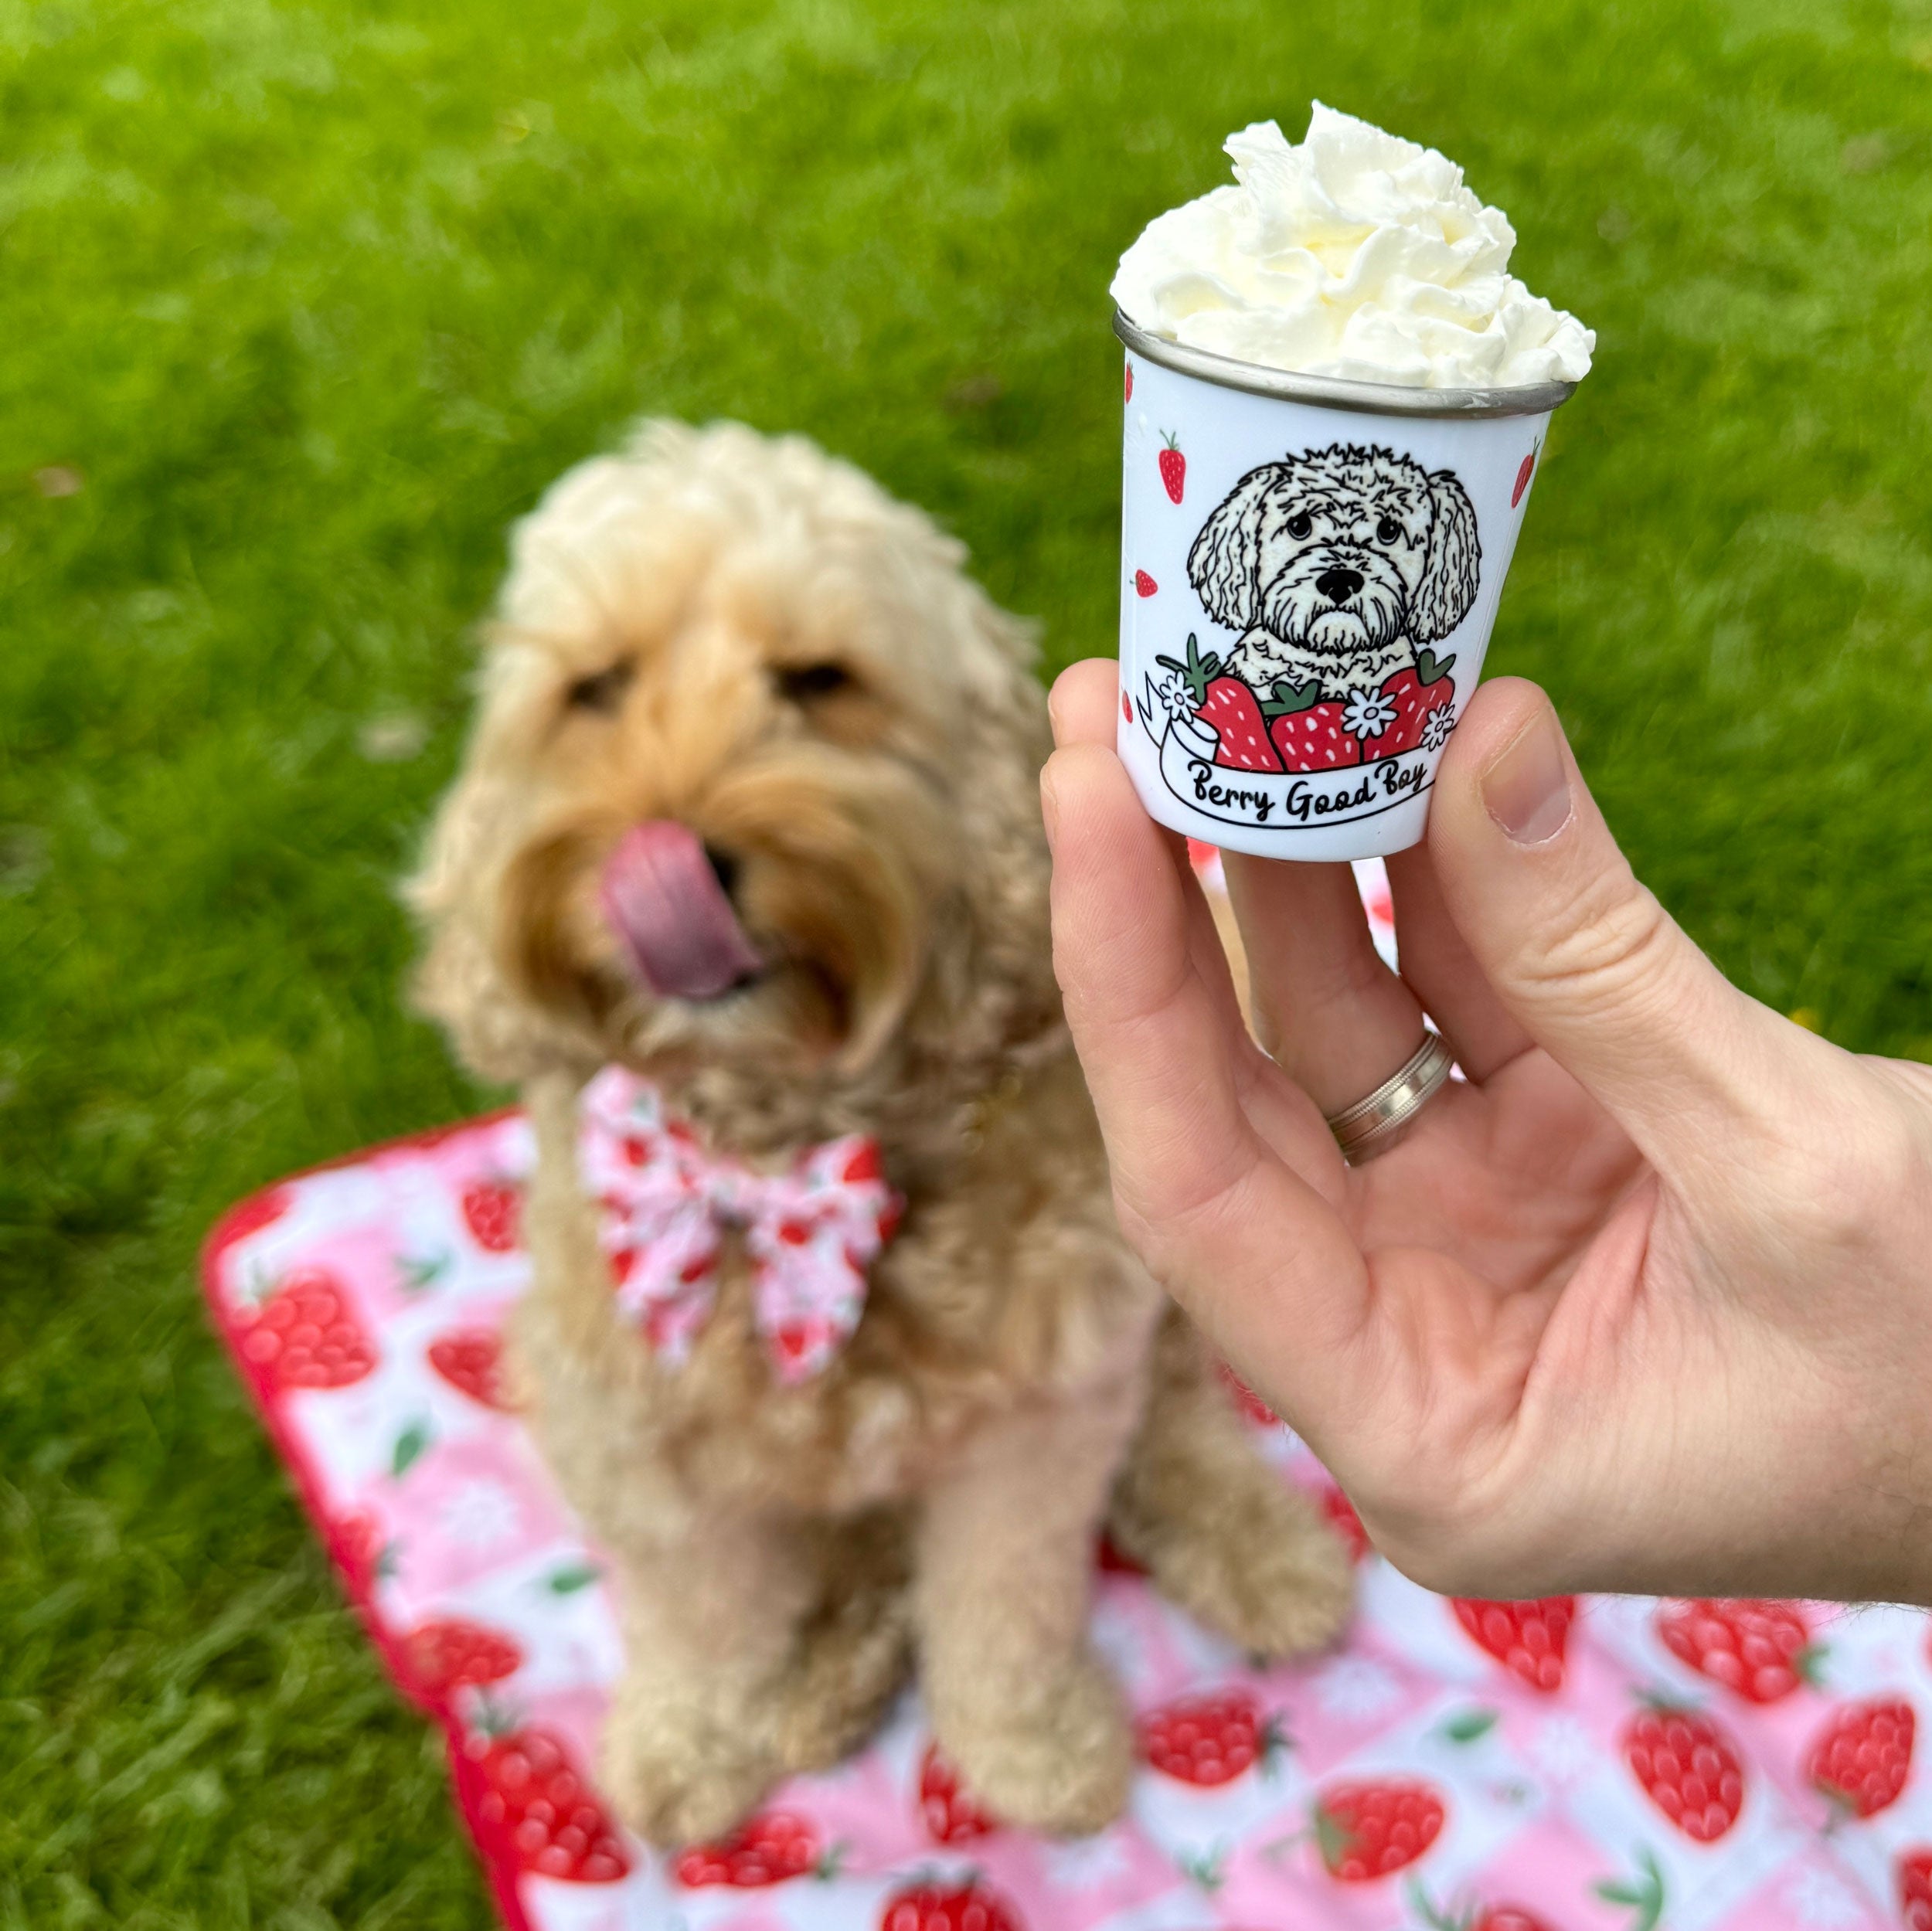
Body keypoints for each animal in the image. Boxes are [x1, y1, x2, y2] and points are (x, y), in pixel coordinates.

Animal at [411, 419, 1345, 1838]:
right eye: (594, 688)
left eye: (820, 680)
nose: (672, 856)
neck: (788, 1151)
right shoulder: (632, 1431)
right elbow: (704, 1614)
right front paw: (690, 1740)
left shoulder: (1037, 1413)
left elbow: (1003, 1599)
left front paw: (1028, 1747)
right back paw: (827, 1672)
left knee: (1176, 1418)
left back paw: (1259, 1550)